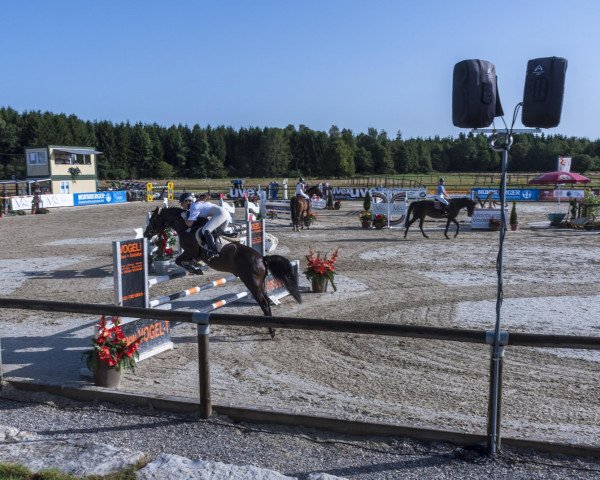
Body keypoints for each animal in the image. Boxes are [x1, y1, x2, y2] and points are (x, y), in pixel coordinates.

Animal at [144, 206, 302, 338]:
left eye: (153, 219)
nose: (146, 234)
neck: (186, 228)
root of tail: (262, 258)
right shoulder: (192, 254)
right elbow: (183, 261)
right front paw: (195, 267)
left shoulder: (189, 252)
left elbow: (179, 261)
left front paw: (195, 269)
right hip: (260, 284)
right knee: (267, 301)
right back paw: (271, 327)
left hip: (252, 283)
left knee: (264, 303)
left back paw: (271, 331)